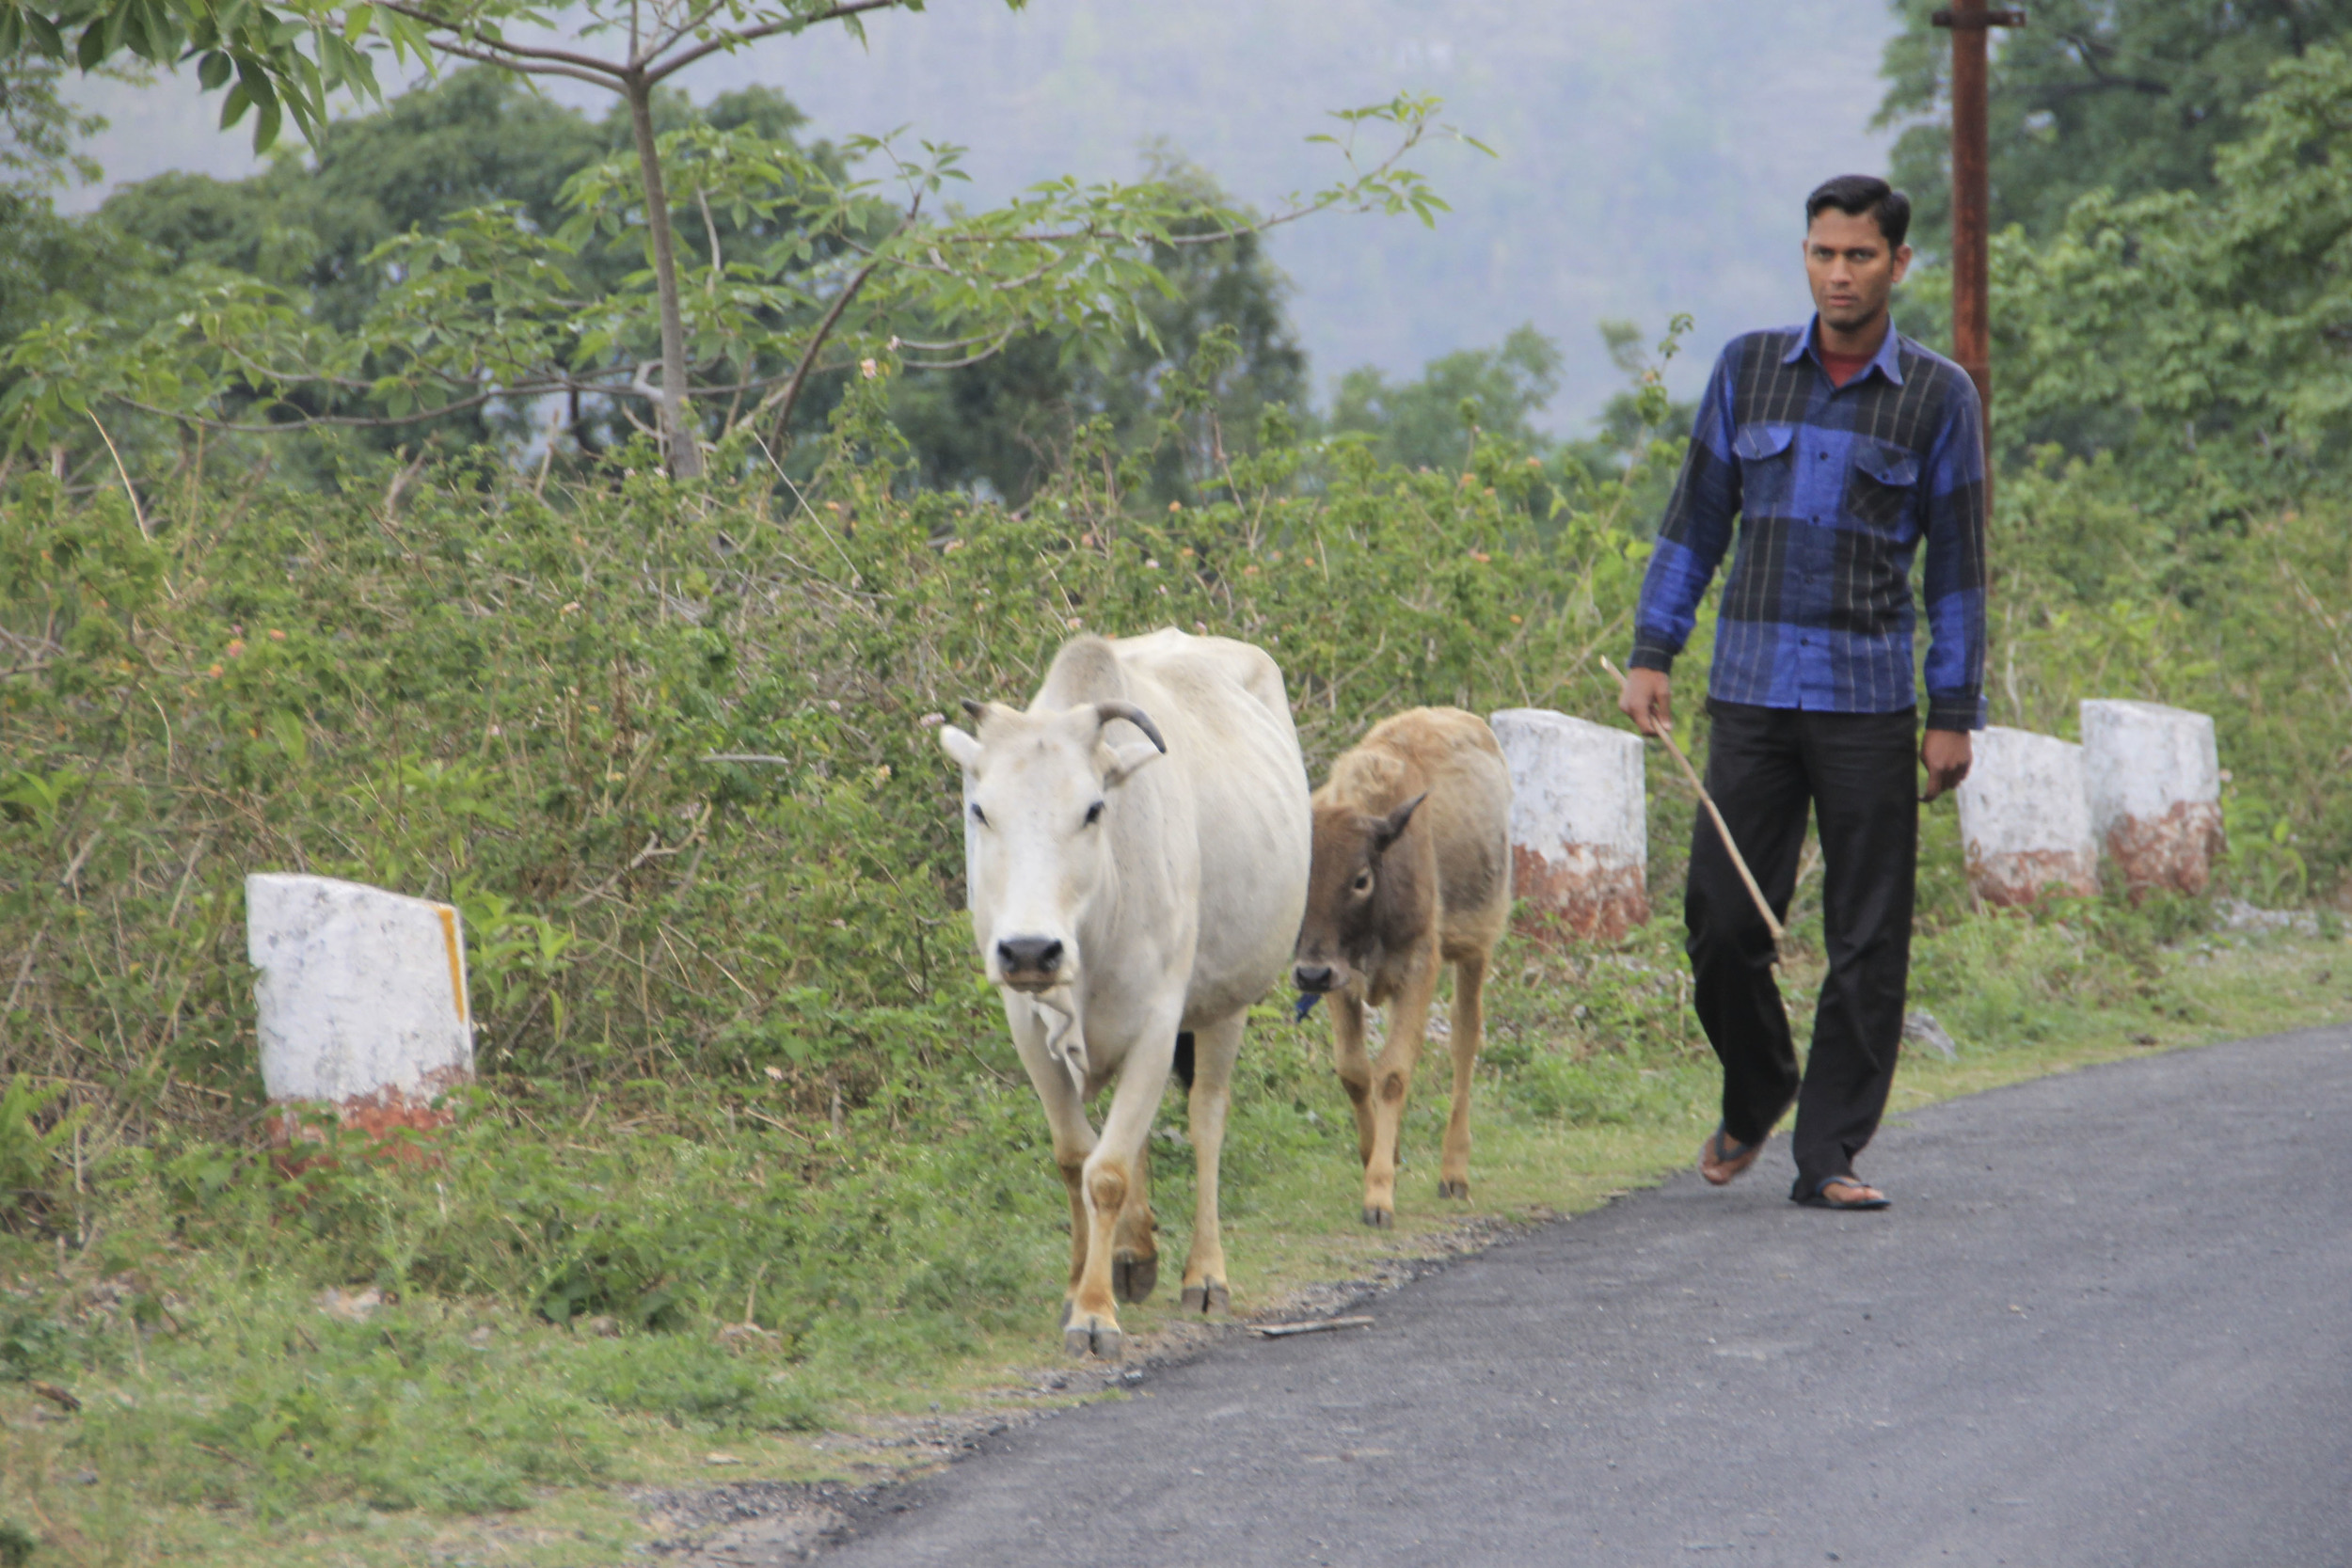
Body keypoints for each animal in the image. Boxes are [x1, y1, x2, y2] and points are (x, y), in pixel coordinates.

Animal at [936, 629, 1317, 1354]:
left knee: (1205, 1120)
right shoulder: (1028, 1026)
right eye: (980, 809)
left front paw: (1093, 1313)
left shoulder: (1159, 1023)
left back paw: (1205, 1274)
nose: (1030, 950)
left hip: (1226, 1004)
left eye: (1093, 808)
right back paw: (1134, 1255)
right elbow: (1075, 1157)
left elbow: (1107, 1174)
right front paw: (1079, 1284)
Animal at [1289, 705, 1505, 1231]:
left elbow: (1392, 1073)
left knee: (1466, 1039)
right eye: (1302, 873)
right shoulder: (1342, 982)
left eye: (1360, 878)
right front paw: (1378, 1155)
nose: (1308, 976)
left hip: (1475, 950)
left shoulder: (1418, 969)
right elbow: (1354, 1071)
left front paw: (1379, 1197)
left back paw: (1454, 1173)